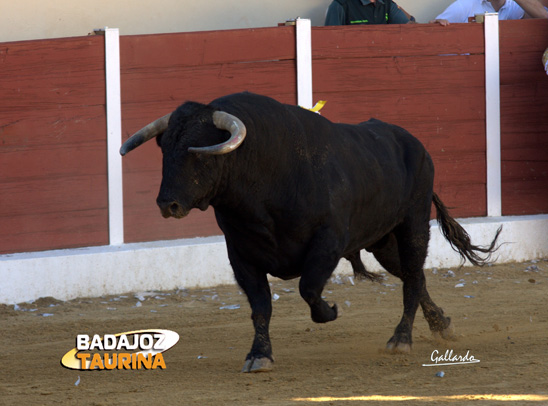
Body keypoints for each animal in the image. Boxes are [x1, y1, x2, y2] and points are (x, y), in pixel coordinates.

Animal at [121, 92, 500, 372]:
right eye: (165, 150)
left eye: (198, 154)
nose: (167, 204)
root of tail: (416, 145)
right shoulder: (241, 254)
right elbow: (260, 305)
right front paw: (259, 355)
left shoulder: (327, 242)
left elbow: (309, 288)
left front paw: (330, 311)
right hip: (383, 242)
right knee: (414, 276)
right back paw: (441, 325)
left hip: (414, 224)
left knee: (411, 278)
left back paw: (401, 339)